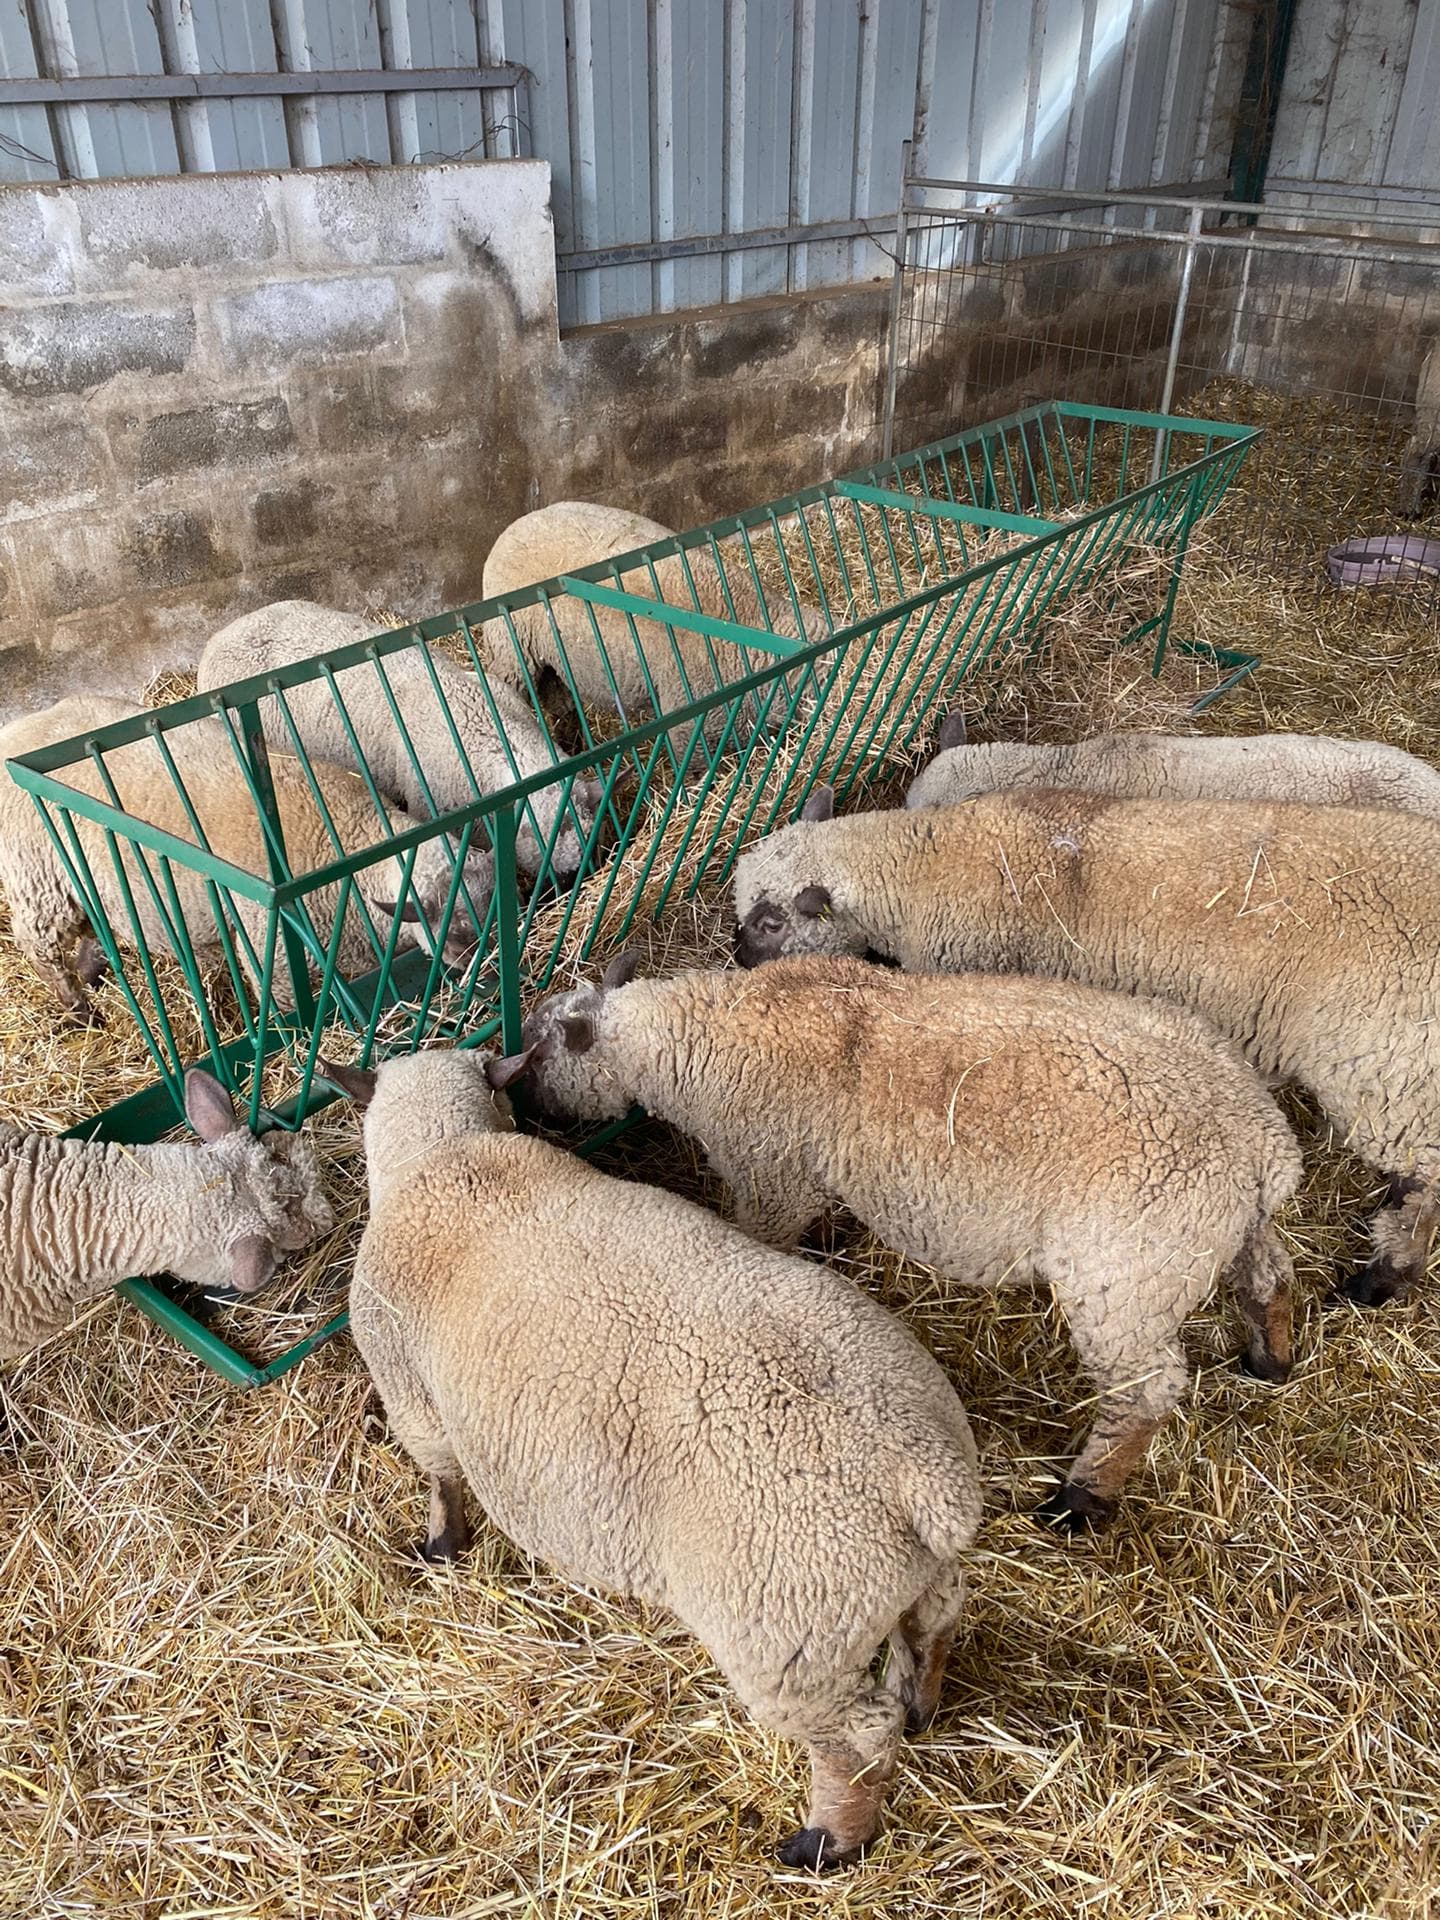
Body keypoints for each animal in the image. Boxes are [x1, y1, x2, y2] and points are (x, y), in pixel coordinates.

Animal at [0, 695, 471, 1021]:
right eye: (450, 925)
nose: (474, 967)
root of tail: (20, 728)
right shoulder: (274, 953)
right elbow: (288, 1006)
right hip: (38, 879)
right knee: (37, 947)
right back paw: (81, 1012)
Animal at [331, 1045, 981, 1869]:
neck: (448, 1156)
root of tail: (922, 1482)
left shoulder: (413, 1396)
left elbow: (443, 1478)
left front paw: (442, 1544)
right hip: (905, 1586)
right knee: (931, 1631)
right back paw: (920, 1705)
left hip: (788, 1640)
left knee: (857, 1741)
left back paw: (826, 1842)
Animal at [502, 951, 1302, 1531]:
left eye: (536, 1058)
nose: (514, 1102)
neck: (702, 1037)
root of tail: (1263, 1148)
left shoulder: (771, 1175)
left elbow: (766, 1239)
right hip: (1219, 1239)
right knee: (1271, 1277)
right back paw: (1270, 1359)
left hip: (1127, 1273)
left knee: (1146, 1390)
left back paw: (1081, 1501)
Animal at [732, 784, 1440, 1309]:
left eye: (769, 921)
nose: (737, 960)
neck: (926, 869)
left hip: (1388, 1074)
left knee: (1422, 1179)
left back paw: (1382, 1276)